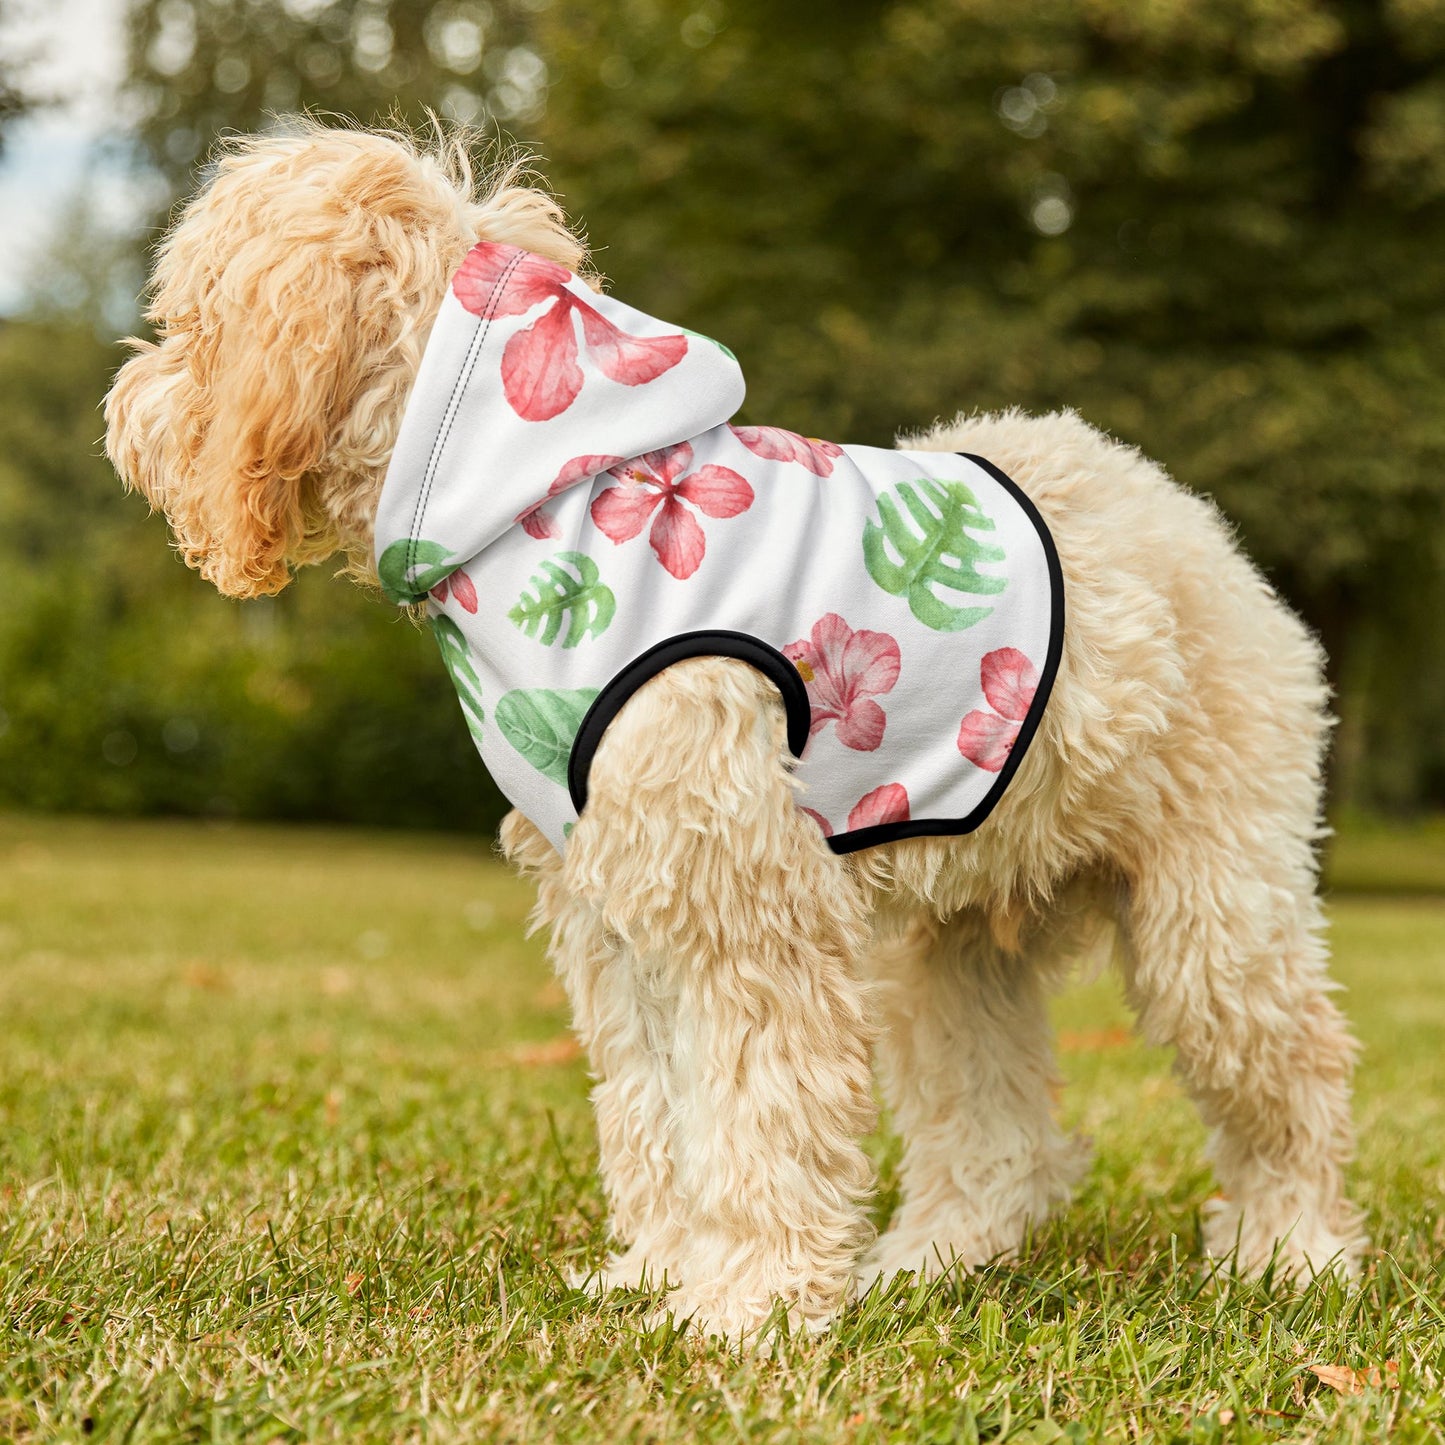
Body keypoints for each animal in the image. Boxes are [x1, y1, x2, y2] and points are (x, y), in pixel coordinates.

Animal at [104, 124, 1364, 1340]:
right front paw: (662, 1273)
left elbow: (758, 1111)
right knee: (995, 1133)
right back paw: (929, 1260)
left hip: (1212, 914)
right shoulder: (618, 911)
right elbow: (656, 1111)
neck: (540, 497)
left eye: (189, 319)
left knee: (1292, 1075)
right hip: (949, 948)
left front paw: (747, 1304)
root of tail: (1185, 517)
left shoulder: (745, 904)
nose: (123, 409)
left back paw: (1290, 1252)